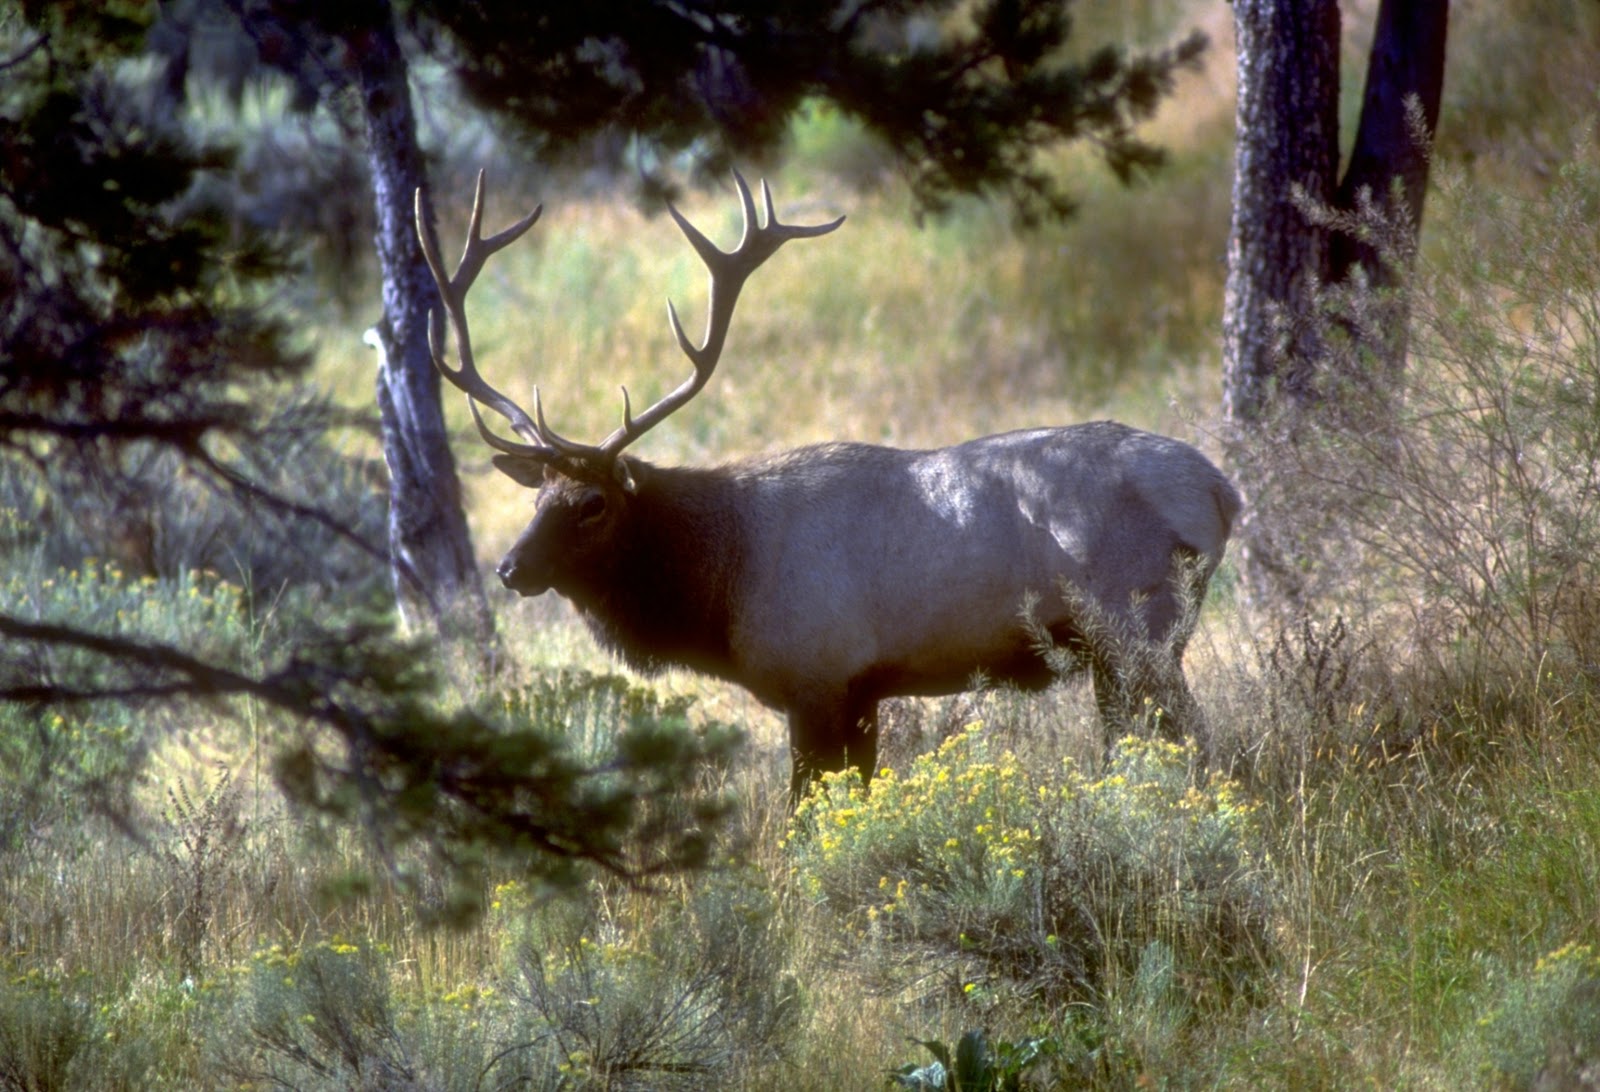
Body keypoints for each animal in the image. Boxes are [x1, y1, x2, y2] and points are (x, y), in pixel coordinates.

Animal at [415, 171, 1241, 804]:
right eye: (536, 496)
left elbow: (807, 813)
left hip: (1139, 631)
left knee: (1197, 742)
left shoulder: (815, 678)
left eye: (592, 504)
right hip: (1121, 654)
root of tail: (1222, 491)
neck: (722, 583)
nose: (510, 567)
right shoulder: (864, 691)